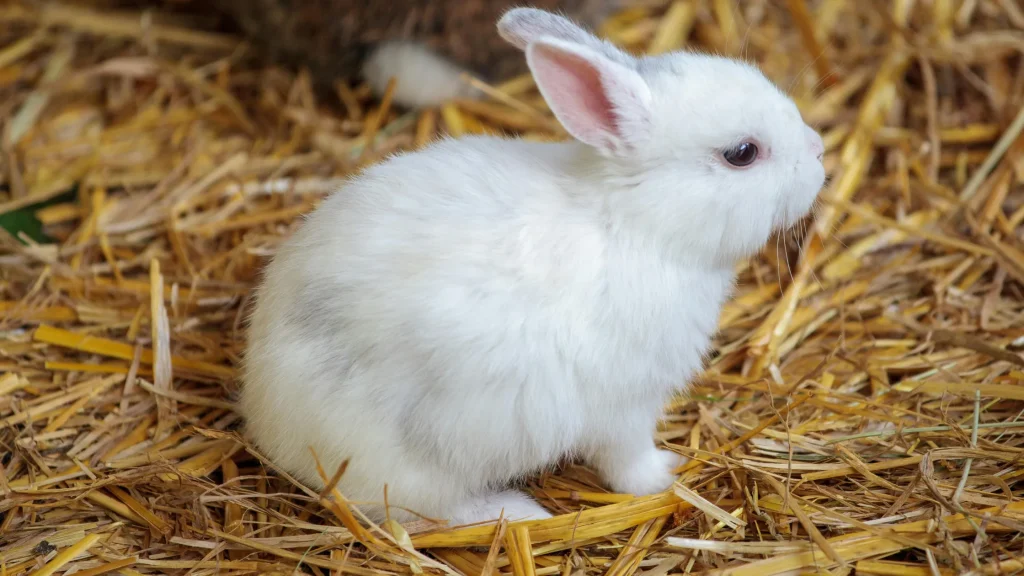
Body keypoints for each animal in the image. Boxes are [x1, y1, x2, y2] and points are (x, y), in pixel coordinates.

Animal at [238, 7, 826, 527]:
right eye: (742, 153)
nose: (820, 152)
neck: (633, 223)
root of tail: (266, 418)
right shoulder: (625, 406)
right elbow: (627, 460)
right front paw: (666, 474)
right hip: (413, 464)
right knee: (417, 514)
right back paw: (515, 511)